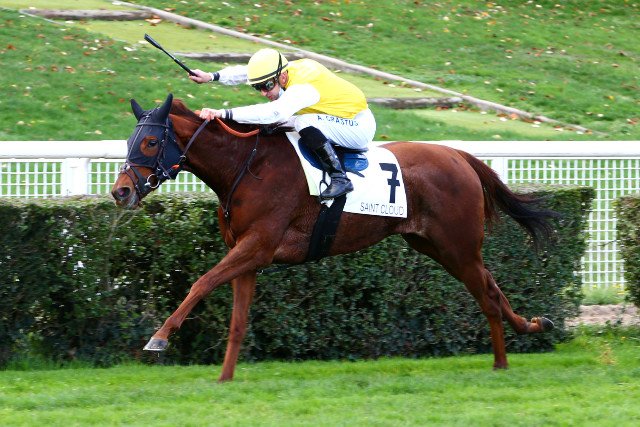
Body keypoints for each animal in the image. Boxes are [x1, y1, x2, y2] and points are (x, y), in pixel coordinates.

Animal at [111, 94, 556, 382]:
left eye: (151, 141)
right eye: (129, 141)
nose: (121, 191)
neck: (246, 166)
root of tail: (459, 155)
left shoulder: (259, 245)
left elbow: (201, 282)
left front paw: (159, 338)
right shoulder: (246, 254)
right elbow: (237, 319)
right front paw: (225, 377)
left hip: (456, 246)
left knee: (485, 294)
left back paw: (502, 362)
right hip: (437, 246)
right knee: (491, 285)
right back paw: (532, 326)